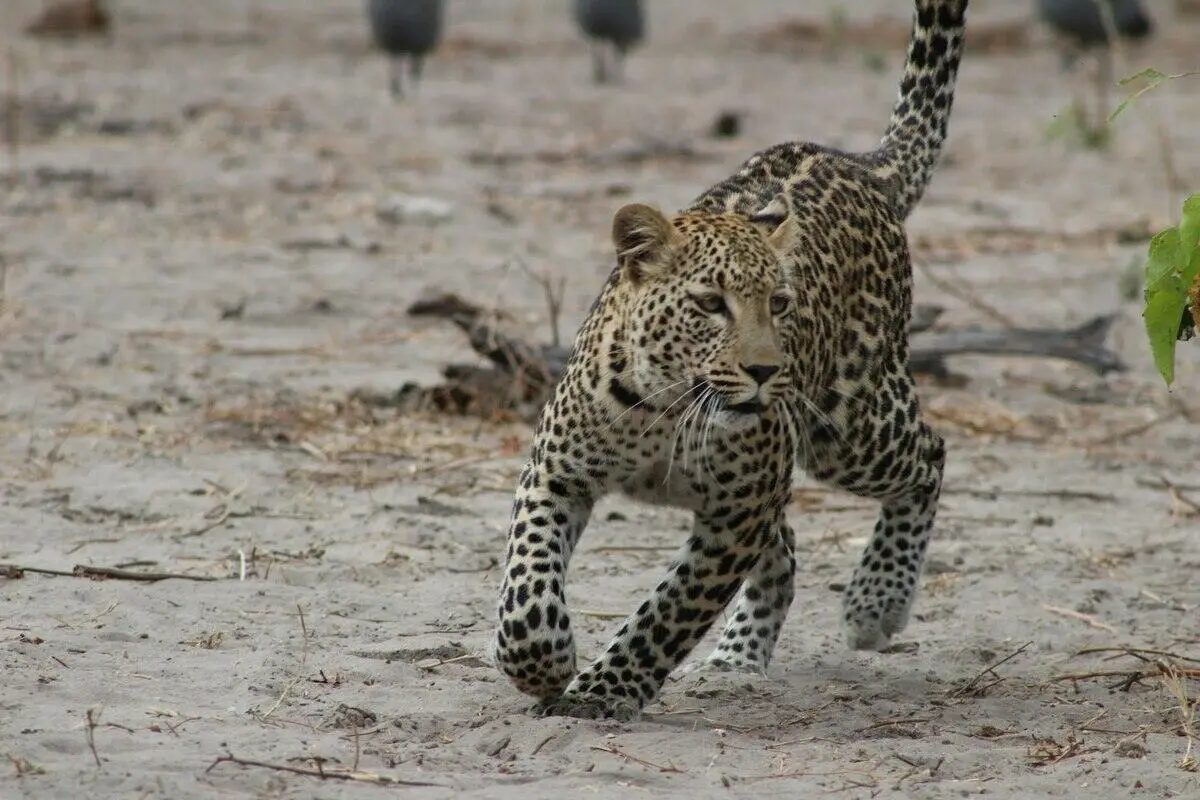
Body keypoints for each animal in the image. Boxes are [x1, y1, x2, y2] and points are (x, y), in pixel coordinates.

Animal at [487, 0, 964, 724]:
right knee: (788, 548)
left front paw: (601, 692)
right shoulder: (556, 473)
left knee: (929, 455)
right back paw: (738, 660)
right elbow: (526, 583)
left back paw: (875, 601)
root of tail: (858, 164)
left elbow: (668, 612)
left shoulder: (736, 515)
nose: (765, 371)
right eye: (711, 304)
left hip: (847, 426)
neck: (663, 410)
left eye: (780, 303)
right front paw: (544, 661)